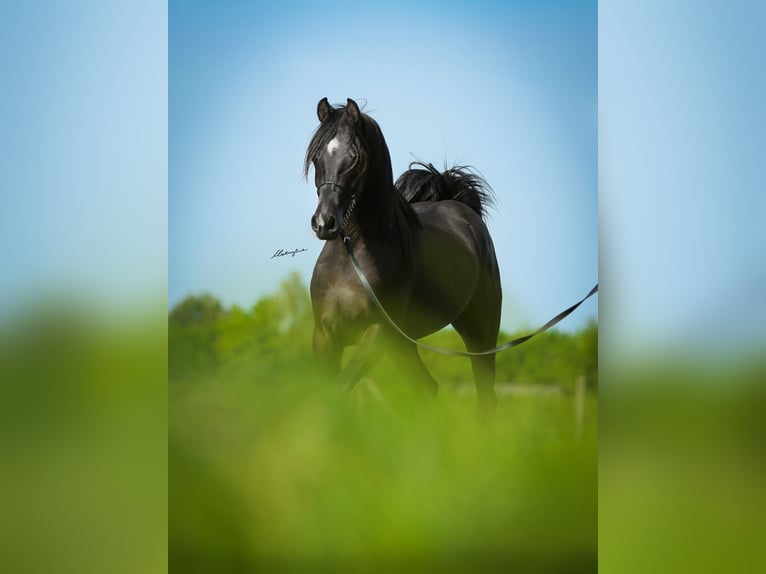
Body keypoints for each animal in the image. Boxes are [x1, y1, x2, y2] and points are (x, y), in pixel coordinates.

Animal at [305, 98, 502, 414]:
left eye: (355, 159)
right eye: (316, 158)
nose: (325, 223)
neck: (351, 261)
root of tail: (461, 207)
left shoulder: (377, 334)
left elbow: (340, 390)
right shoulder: (325, 335)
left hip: (481, 332)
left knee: (485, 395)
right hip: (404, 344)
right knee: (427, 387)